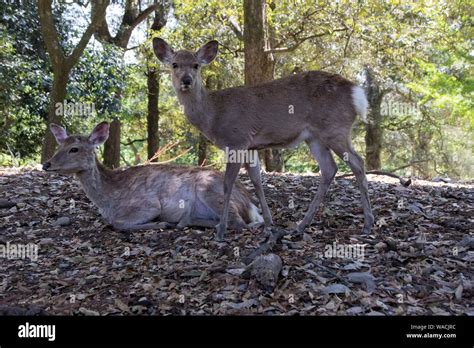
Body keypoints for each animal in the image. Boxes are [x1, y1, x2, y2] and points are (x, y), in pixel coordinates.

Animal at [41, 121, 262, 231]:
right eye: (60, 146)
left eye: (74, 149)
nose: (46, 164)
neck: (108, 201)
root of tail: (250, 204)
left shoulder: (150, 204)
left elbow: (117, 223)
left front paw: (160, 223)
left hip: (209, 189)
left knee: (238, 223)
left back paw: (181, 221)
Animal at [152, 37, 374, 239]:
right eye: (175, 64)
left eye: (196, 65)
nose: (186, 80)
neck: (213, 114)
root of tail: (357, 94)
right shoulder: (251, 147)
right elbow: (257, 182)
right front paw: (269, 224)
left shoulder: (237, 140)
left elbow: (228, 184)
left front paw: (221, 231)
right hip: (315, 137)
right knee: (330, 168)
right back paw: (301, 226)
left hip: (335, 128)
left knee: (358, 162)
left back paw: (368, 224)